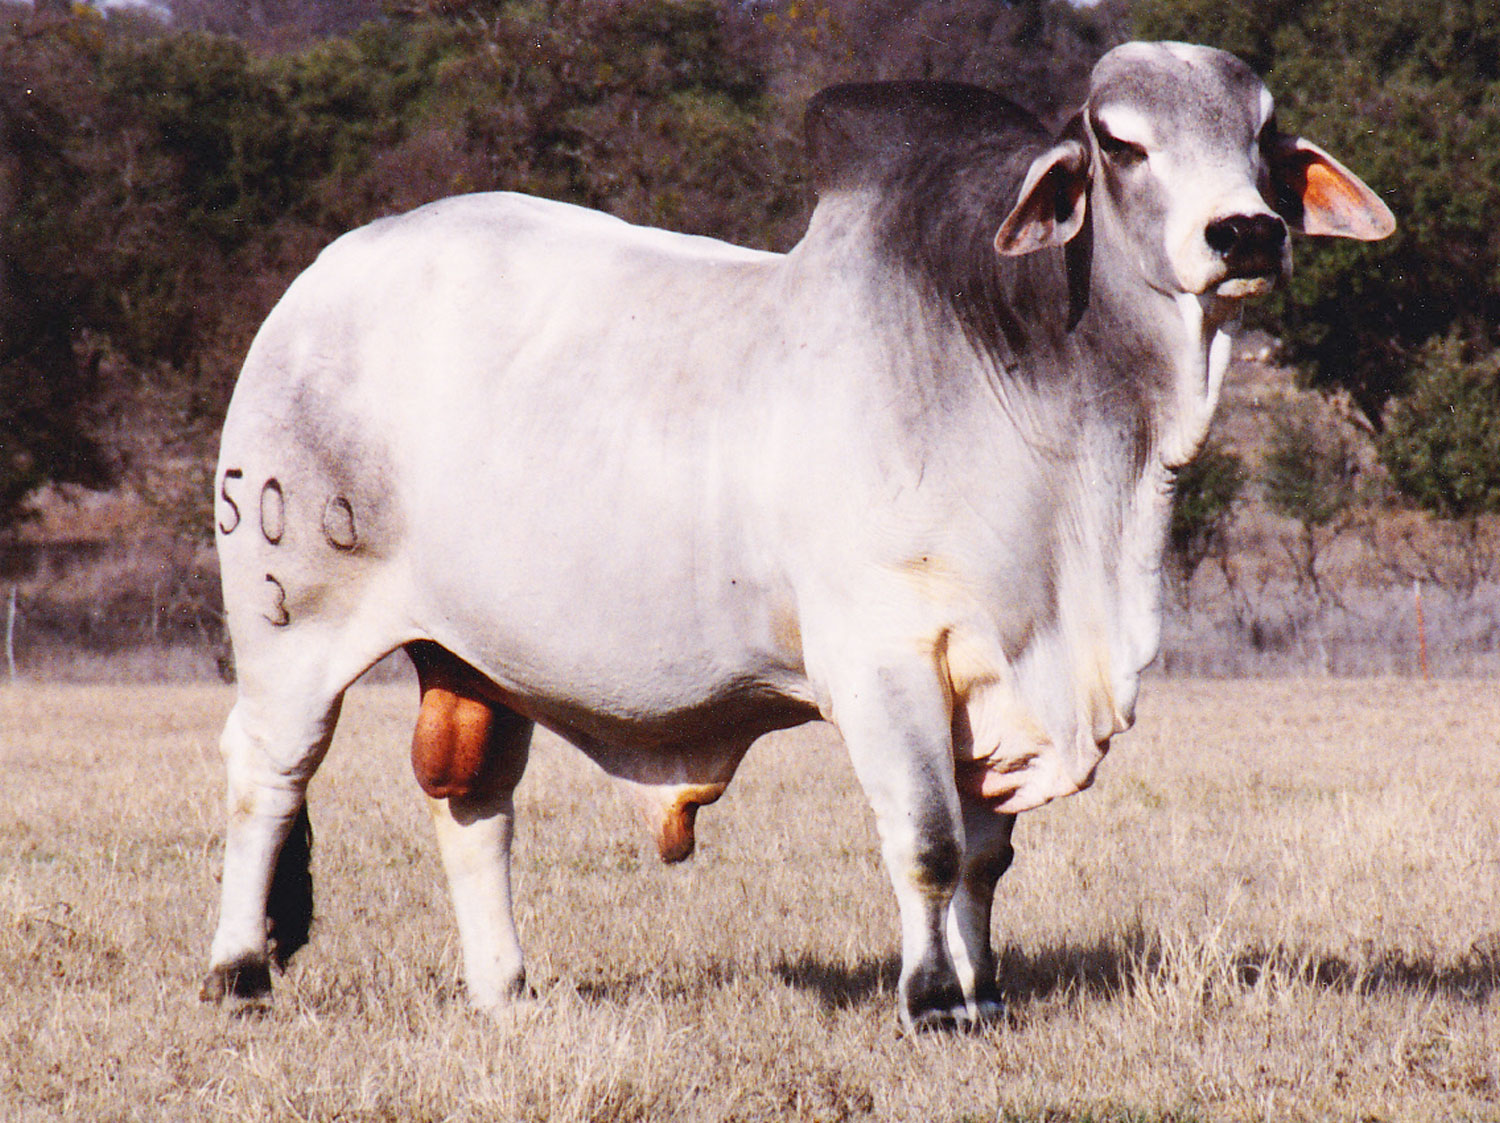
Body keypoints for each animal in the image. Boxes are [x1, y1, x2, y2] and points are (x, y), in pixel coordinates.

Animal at [202, 41, 1392, 1025]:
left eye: (1261, 137)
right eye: (1121, 140)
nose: (1246, 233)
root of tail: (318, 284)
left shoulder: (995, 677)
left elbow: (984, 860)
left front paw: (985, 992)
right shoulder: (884, 660)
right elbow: (926, 842)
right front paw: (931, 1001)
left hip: (474, 660)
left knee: (475, 806)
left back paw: (505, 991)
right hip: (289, 624)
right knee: (268, 775)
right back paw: (238, 972)